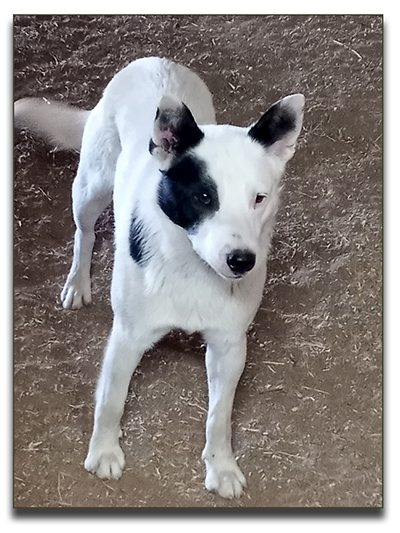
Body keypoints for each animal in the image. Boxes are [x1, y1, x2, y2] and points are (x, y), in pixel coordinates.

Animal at [14, 58, 304, 498]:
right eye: (204, 196)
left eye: (259, 198)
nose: (241, 262)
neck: (192, 267)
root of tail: (153, 62)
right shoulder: (127, 337)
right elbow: (111, 401)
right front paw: (104, 452)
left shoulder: (229, 346)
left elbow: (219, 417)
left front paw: (221, 466)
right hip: (91, 187)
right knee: (85, 233)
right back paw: (78, 282)